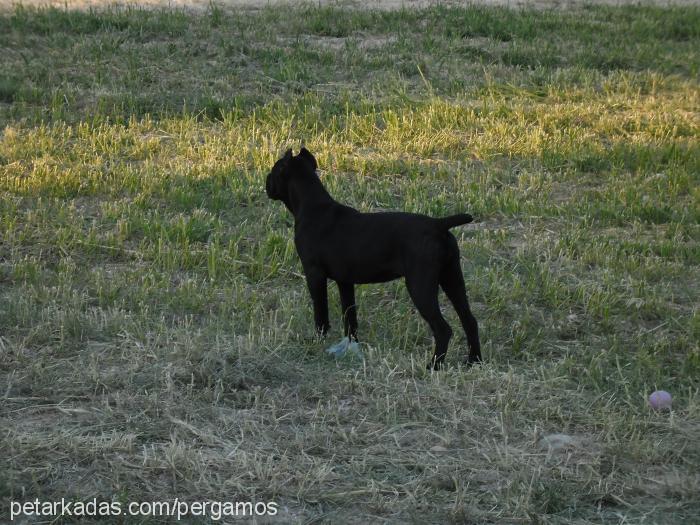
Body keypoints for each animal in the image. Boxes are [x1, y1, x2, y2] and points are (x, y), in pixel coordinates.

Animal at [264, 147, 482, 368]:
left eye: (273, 171)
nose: (266, 180)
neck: (313, 207)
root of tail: (438, 224)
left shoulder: (314, 274)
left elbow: (321, 311)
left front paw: (318, 338)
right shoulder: (345, 282)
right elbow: (350, 316)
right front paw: (351, 344)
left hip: (421, 286)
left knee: (443, 329)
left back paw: (434, 366)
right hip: (452, 279)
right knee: (470, 320)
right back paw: (474, 360)